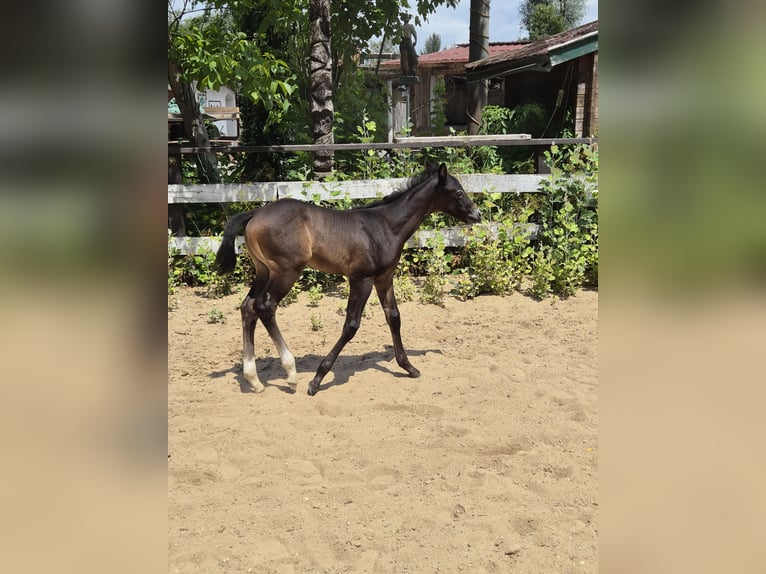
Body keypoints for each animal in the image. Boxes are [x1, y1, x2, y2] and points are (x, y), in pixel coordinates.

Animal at [215, 163, 481, 396]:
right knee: (265, 306)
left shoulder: (384, 278)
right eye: (458, 192)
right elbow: (351, 325)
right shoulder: (361, 279)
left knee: (248, 307)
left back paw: (254, 379)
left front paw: (409, 367)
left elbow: (394, 317)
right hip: (286, 271)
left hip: (263, 270)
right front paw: (317, 380)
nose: (477, 214)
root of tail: (255, 213)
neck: (385, 226)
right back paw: (290, 374)